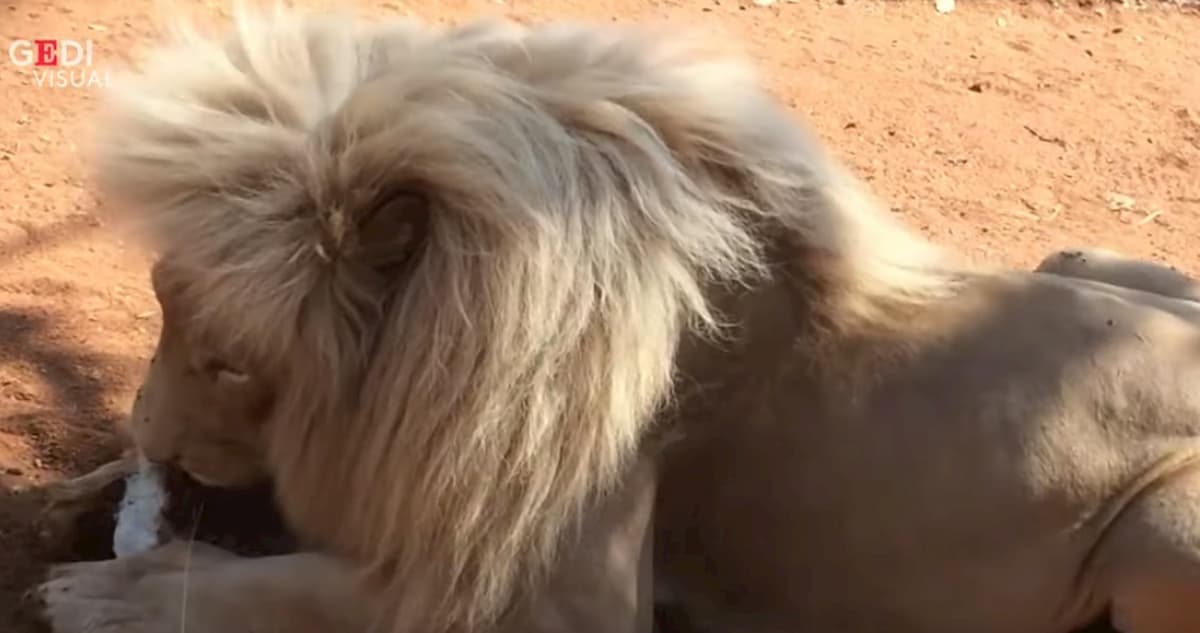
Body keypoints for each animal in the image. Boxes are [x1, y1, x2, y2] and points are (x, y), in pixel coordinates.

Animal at [35, 6, 1200, 633]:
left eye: (232, 363)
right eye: (158, 306)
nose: (153, 437)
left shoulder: (559, 597)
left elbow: (307, 587)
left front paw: (116, 593)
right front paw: (78, 497)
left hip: (1164, 530)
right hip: (1085, 259)